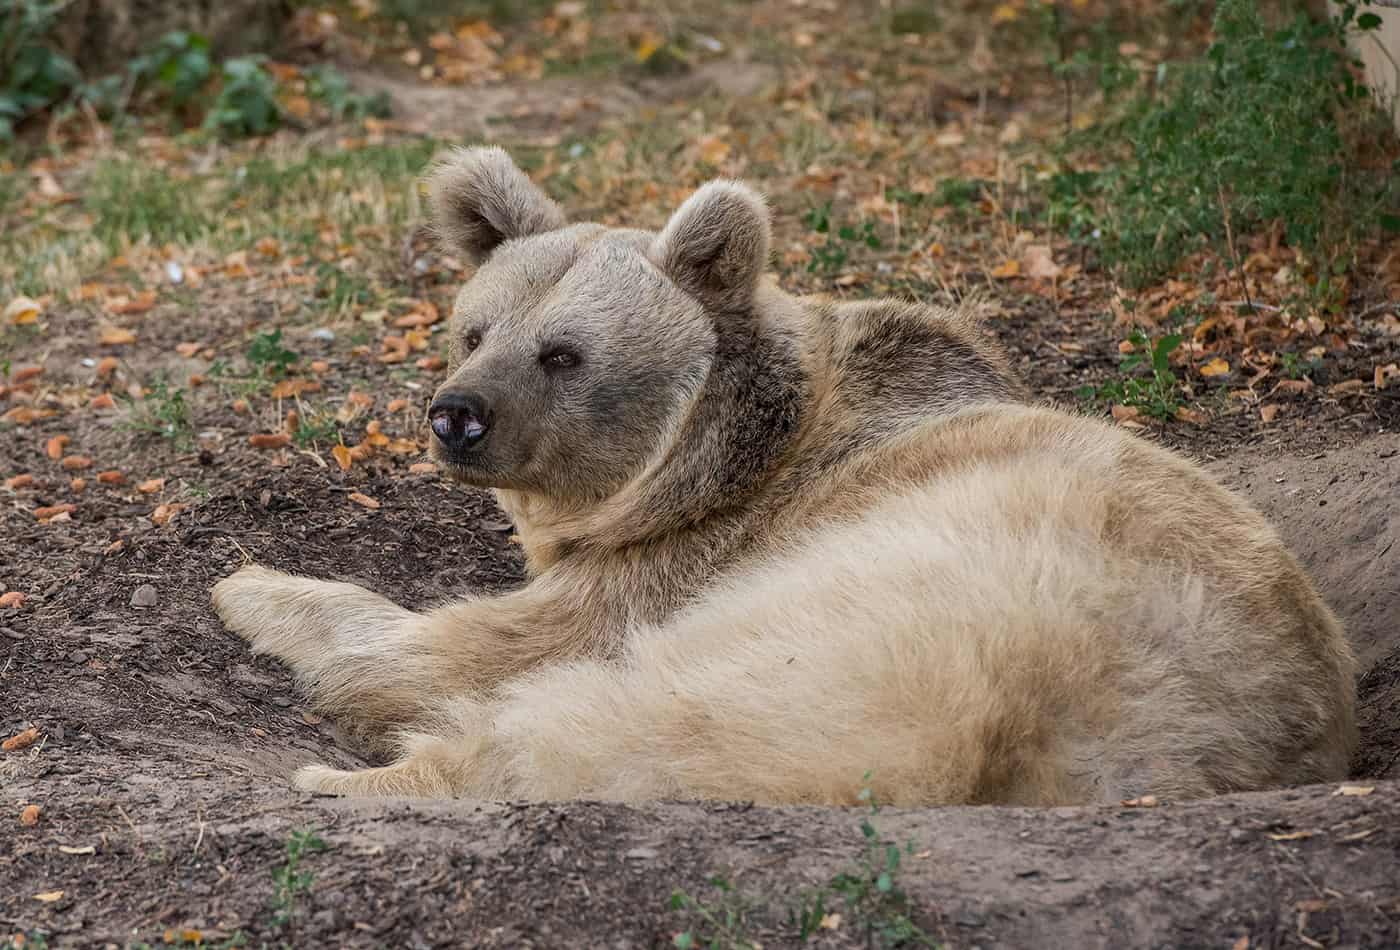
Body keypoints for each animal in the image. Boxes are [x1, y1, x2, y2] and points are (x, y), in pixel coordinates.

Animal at [210, 146, 1355, 800]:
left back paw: (359, 777)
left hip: (915, 607)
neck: (713, 461)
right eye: (473, 329)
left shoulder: (684, 559)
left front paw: (252, 584)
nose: (456, 416)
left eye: (563, 353)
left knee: (661, 716)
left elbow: (465, 644)